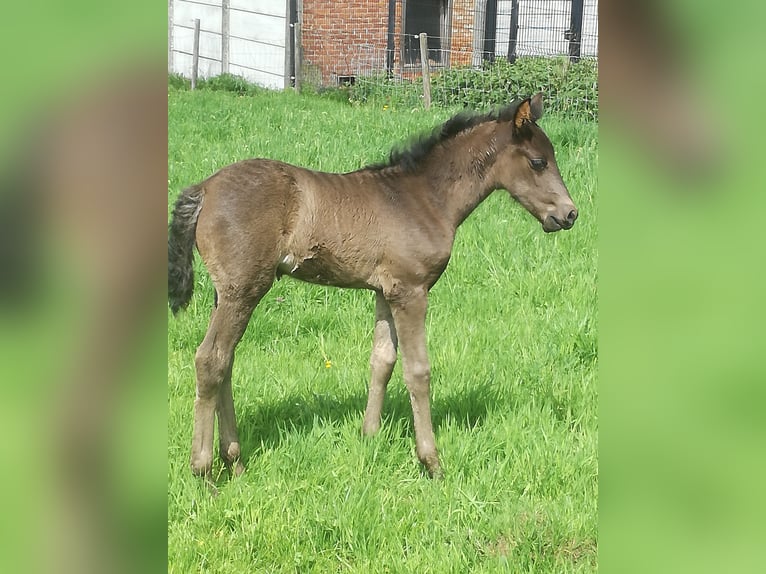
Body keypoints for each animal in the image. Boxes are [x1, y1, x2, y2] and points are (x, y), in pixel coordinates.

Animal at [168, 93, 576, 482]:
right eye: (538, 162)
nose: (569, 214)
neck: (425, 198)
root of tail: (204, 188)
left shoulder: (385, 291)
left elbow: (382, 361)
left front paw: (369, 437)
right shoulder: (411, 290)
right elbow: (418, 370)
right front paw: (431, 462)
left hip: (227, 293)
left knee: (226, 361)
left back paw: (234, 462)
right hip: (244, 289)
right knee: (210, 360)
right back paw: (204, 470)